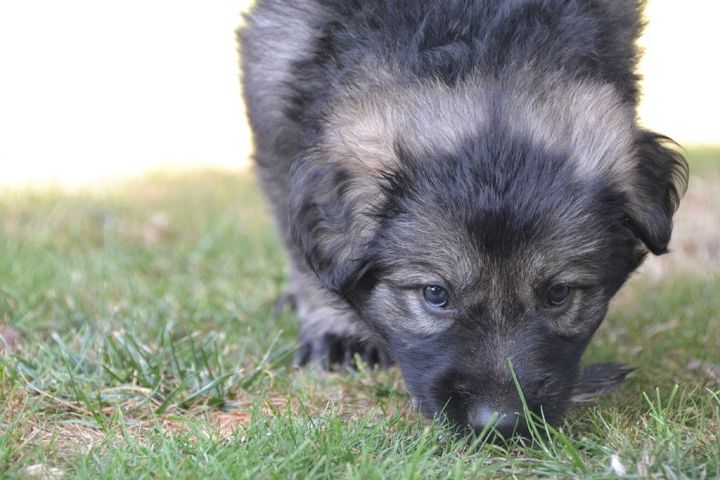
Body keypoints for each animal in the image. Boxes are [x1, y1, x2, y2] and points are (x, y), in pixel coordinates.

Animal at [238, 0, 688, 436]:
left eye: (558, 294)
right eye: (436, 294)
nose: (499, 424)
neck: (485, 44)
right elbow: (305, 255)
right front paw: (336, 330)